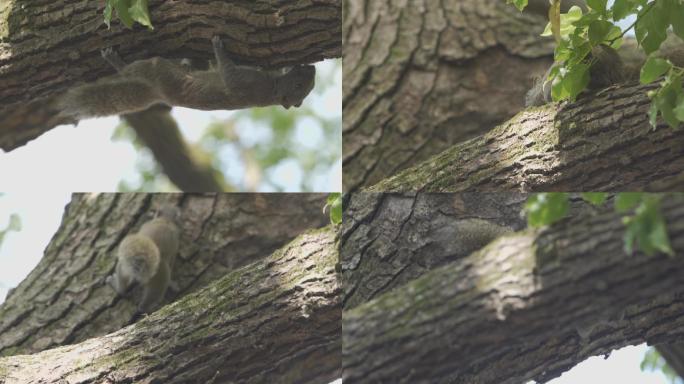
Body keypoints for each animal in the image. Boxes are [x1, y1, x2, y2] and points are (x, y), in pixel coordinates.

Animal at [58, 36, 316, 120]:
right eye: (303, 85)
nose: (312, 69)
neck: (273, 88)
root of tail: (160, 95)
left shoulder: (248, 85)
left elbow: (229, 76)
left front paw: (218, 47)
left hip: (157, 69)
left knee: (137, 69)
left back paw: (116, 61)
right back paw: (188, 61)